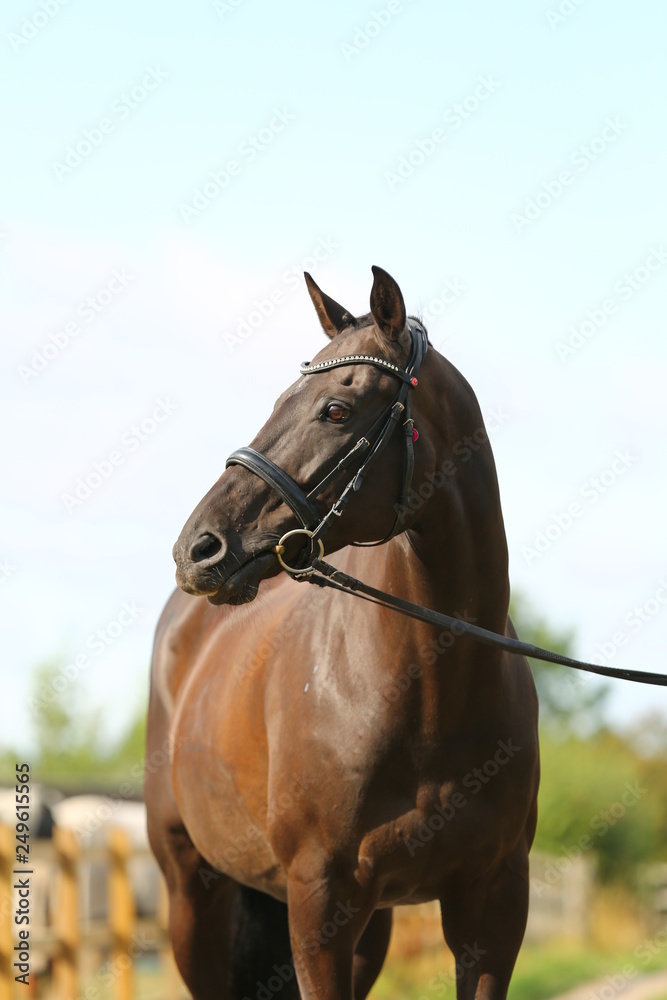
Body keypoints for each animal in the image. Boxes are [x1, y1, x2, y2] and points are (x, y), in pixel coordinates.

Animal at [145, 268, 536, 1000]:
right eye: (280, 400)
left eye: (334, 410)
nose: (198, 548)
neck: (434, 694)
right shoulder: (318, 906)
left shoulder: (492, 908)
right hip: (192, 896)